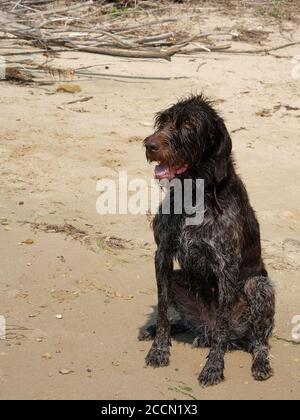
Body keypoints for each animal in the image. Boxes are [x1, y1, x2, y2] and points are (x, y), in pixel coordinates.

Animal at [139, 95, 276, 388]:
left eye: (189, 125)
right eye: (163, 121)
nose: (150, 145)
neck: (194, 193)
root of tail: (205, 330)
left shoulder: (227, 268)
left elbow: (222, 327)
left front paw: (214, 366)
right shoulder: (162, 254)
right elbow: (163, 309)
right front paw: (159, 347)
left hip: (259, 287)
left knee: (255, 341)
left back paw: (259, 362)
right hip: (178, 278)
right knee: (187, 321)